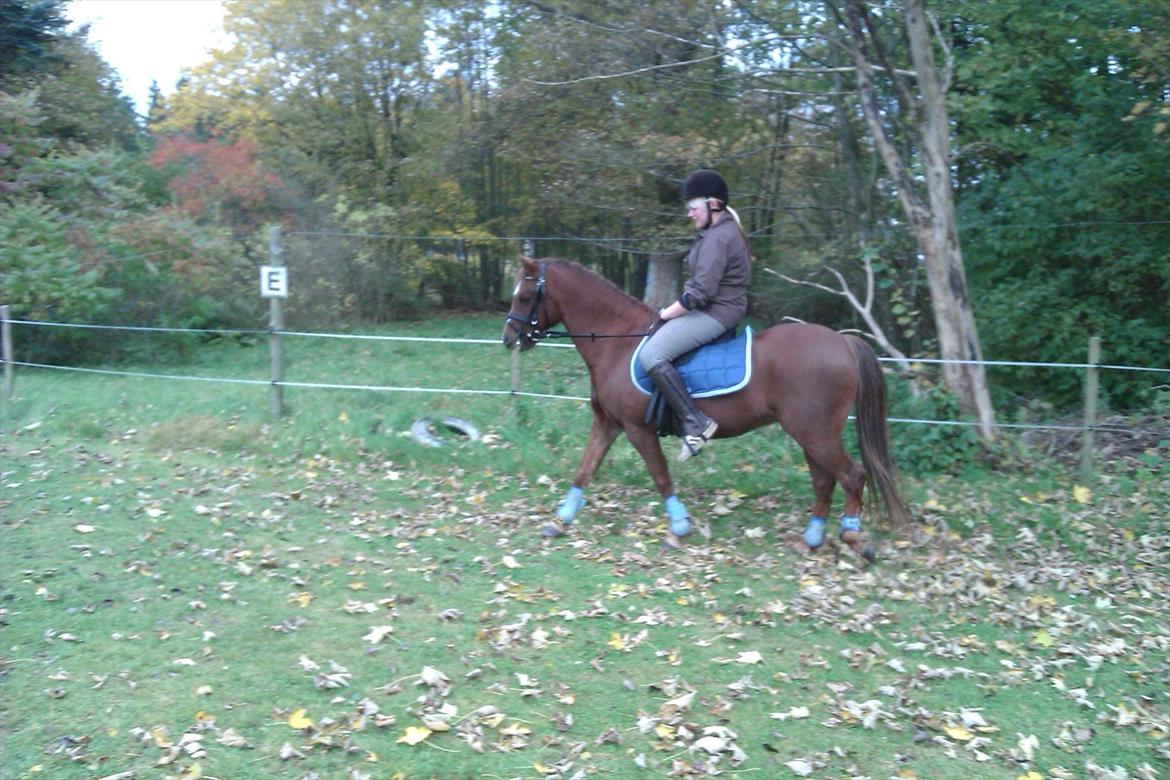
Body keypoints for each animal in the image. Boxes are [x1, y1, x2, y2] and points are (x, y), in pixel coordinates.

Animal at [502, 256, 909, 560]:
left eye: (525, 295)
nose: (509, 339)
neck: (617, 342)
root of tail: (842, 342)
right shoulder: (607, 424)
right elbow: (584, 470)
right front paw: (560, 521)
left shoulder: (637, 429)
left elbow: (661, 476)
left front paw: (678, 529)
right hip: (810, 433)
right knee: (825, 480)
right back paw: (811, 539)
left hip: (814, 432)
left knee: (852, 476)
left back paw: (853, 538)